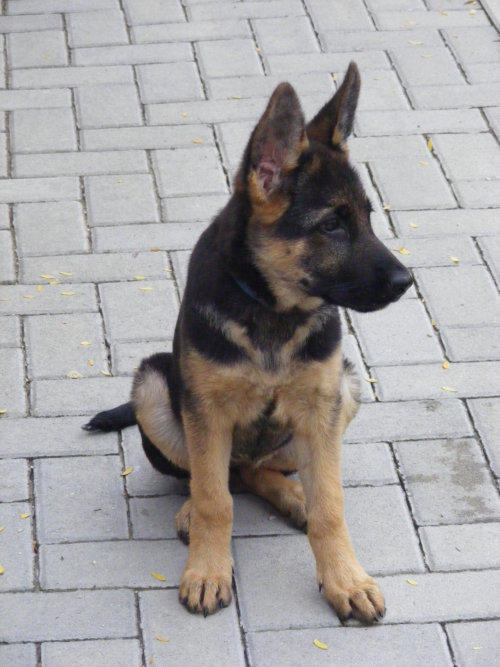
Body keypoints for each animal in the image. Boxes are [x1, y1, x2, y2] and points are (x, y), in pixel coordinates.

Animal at [84, 62, 412, 623]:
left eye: (369, 218)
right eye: (332, 225)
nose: (406, 280)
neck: (273, 312)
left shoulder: (321, 405)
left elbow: (331, 506)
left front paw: (345, 579)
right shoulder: (206, 410)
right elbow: (215, 499)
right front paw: (207, 570)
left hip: (345, 389)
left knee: (258, 471)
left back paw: (293, 495)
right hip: (153, 386)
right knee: (215, 476)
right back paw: (193, 510)